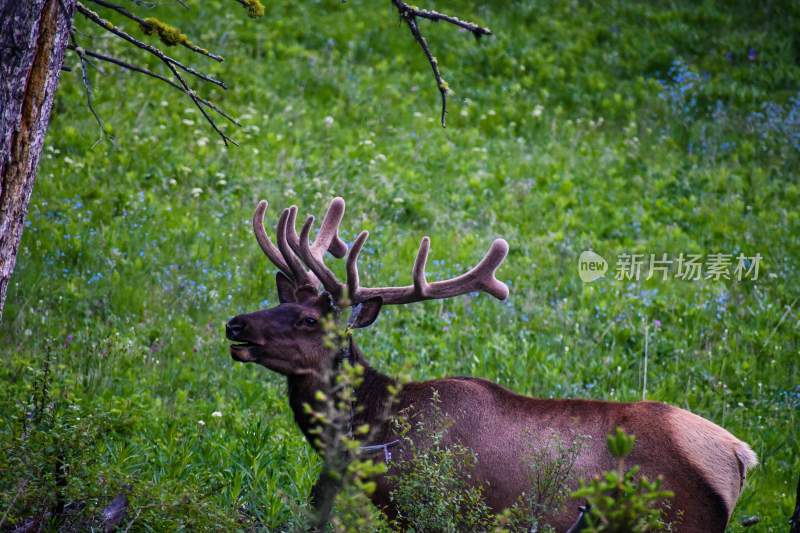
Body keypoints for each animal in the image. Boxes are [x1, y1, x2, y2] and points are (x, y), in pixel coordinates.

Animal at [223, 197, 756, 528]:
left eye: (310, 320)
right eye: (279, 302)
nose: (236, 325)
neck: (377, 428)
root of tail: (740, 455)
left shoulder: (438, 508)